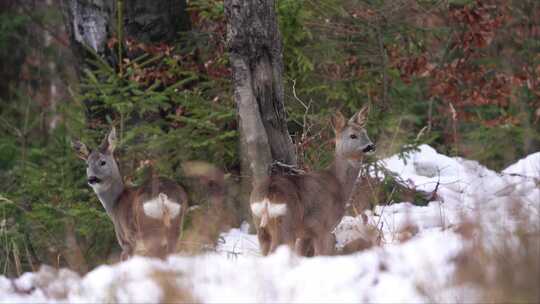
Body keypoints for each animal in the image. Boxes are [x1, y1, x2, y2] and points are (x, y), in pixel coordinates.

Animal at [71, 127, 188, 260]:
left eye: (103, 162)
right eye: (87, 164)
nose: (92, 179)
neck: (115, 204)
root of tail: (162, 197)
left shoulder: (126, 242)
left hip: (148, 226)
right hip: (176, 224)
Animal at [250, 105, 374, 255]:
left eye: (365, 132)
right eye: (353, 135)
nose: (371, 146)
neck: (338, 184)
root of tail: (268, 195)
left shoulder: (307, 233)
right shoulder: (322, 226)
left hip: (260, 225)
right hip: (286, 223)